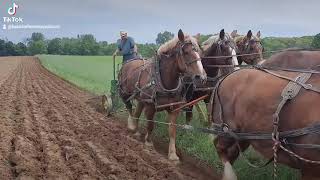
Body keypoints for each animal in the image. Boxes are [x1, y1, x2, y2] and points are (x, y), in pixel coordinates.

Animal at [119, 29, 206, 162]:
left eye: (199, 52)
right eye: (185, 52)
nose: (201, 78)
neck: (165, 81)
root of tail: (129, 62)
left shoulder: (175, 108)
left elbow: (172, 130)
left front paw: (173, 154)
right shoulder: (150, 106)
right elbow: (150, 124)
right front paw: (149, 143)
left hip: (141, 97)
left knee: (137, 111)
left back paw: (136, 131)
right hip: (125, 93)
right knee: (129, 107)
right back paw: (132, 125)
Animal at [211, 50, 320, 179]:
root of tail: (225, 77)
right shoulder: (310, 168)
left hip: (244, 134)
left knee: (232, 152)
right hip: (226, 130)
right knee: (220, 147)